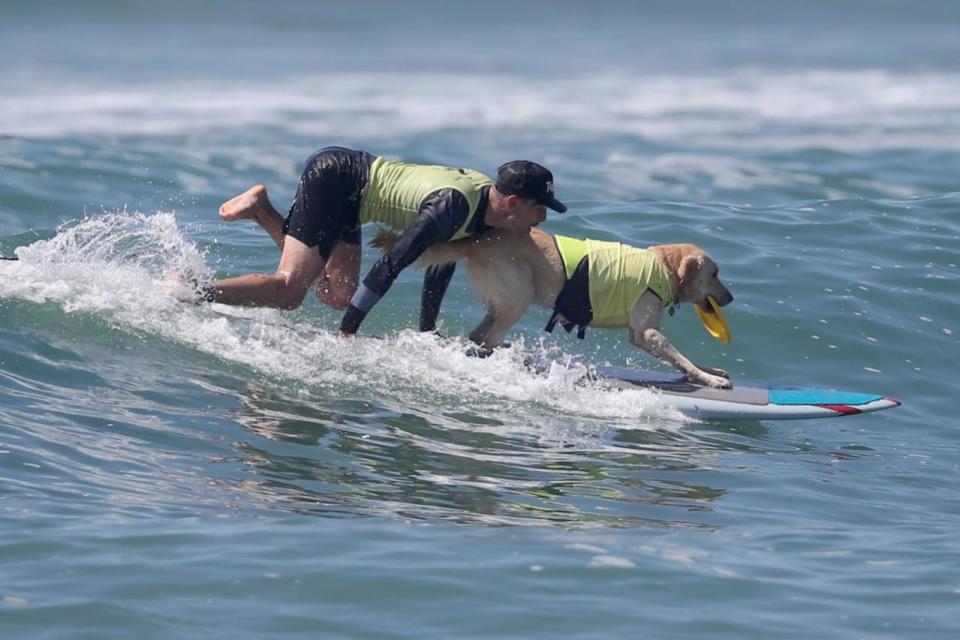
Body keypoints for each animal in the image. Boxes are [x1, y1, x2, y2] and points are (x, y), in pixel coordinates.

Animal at [376, 228, 736, 388]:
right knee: (485, 337)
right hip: (520, 292)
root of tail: (481, 238)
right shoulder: (646, 333)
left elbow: (681, 360)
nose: (731, 297)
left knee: (480, 335)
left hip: (508, 297)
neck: (664, 267)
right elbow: (680, 357)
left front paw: (711, 371)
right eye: (715, 274)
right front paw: (708, 378)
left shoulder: (648, 334)